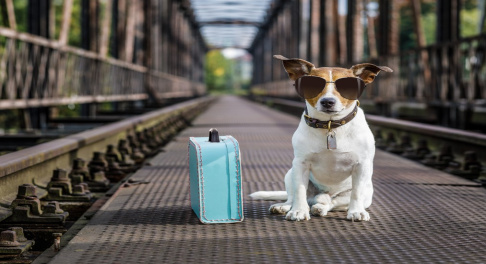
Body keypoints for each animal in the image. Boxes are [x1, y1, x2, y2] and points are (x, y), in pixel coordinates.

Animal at [251, 55, 392, 221]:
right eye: (313, 84)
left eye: (346, 86)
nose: (327, 102)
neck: (330, 126)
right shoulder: (300, 164)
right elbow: (299, 191)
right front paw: (298, 211)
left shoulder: (362, 165)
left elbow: (356, 193)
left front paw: (356, 211)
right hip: (290, 174)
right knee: (294, 197)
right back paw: (285, 207)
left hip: (363, 193)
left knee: (332, 203)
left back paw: (320, 207)